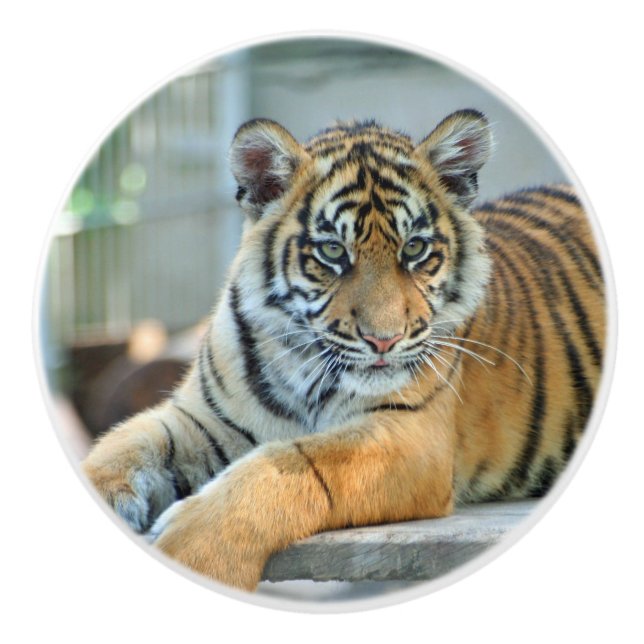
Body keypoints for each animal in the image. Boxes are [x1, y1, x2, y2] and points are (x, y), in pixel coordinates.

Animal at [82, 110, 605, 592]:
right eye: (332, 252)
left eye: (414, 249)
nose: (384, 339)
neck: (301, 365)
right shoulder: (204, 419)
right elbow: (126, 443)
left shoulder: (410, 436)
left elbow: (295, 463)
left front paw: (194, 551)